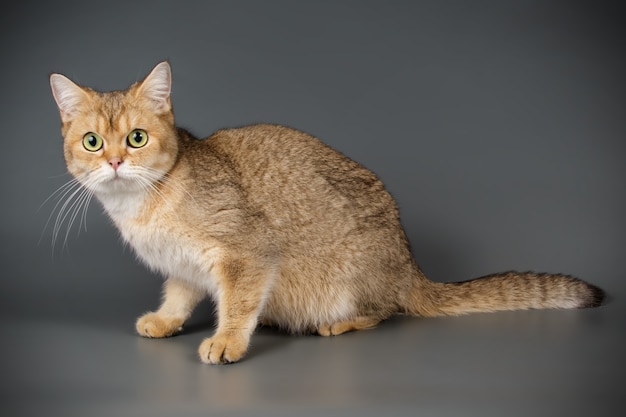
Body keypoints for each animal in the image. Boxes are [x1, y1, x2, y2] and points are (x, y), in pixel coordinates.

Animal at [50, 60, 604, 362]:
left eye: (137, 138)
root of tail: (410, 267)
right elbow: (180, 296)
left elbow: (239, 301)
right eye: (93, 142)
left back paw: (342, 323)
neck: (143, 204)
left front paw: (228, 340)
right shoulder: (185, 266)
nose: (116, 161)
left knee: (385, 310)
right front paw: (167, 321)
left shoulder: (248, 252)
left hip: (352, 277)